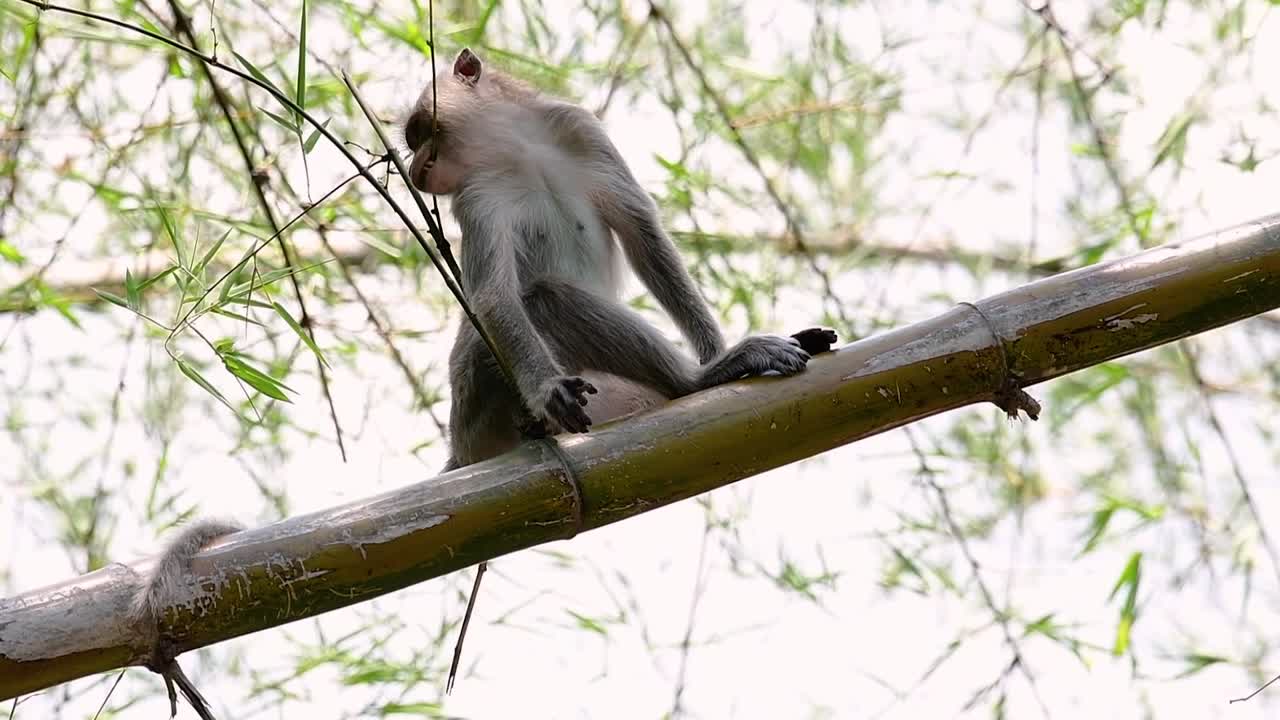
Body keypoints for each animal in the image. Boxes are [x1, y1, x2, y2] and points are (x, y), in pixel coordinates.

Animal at [403, 48, 817, 471]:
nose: (414, 167)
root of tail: (461, 448)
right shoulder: (476, 194)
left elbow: (641, 234)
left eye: (417, 133)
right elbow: (492, 295)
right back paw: (697, 380)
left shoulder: (580, 130)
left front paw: (713, 349)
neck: (516, 151)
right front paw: (545, 387)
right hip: (478, 394)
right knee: (547, 298)